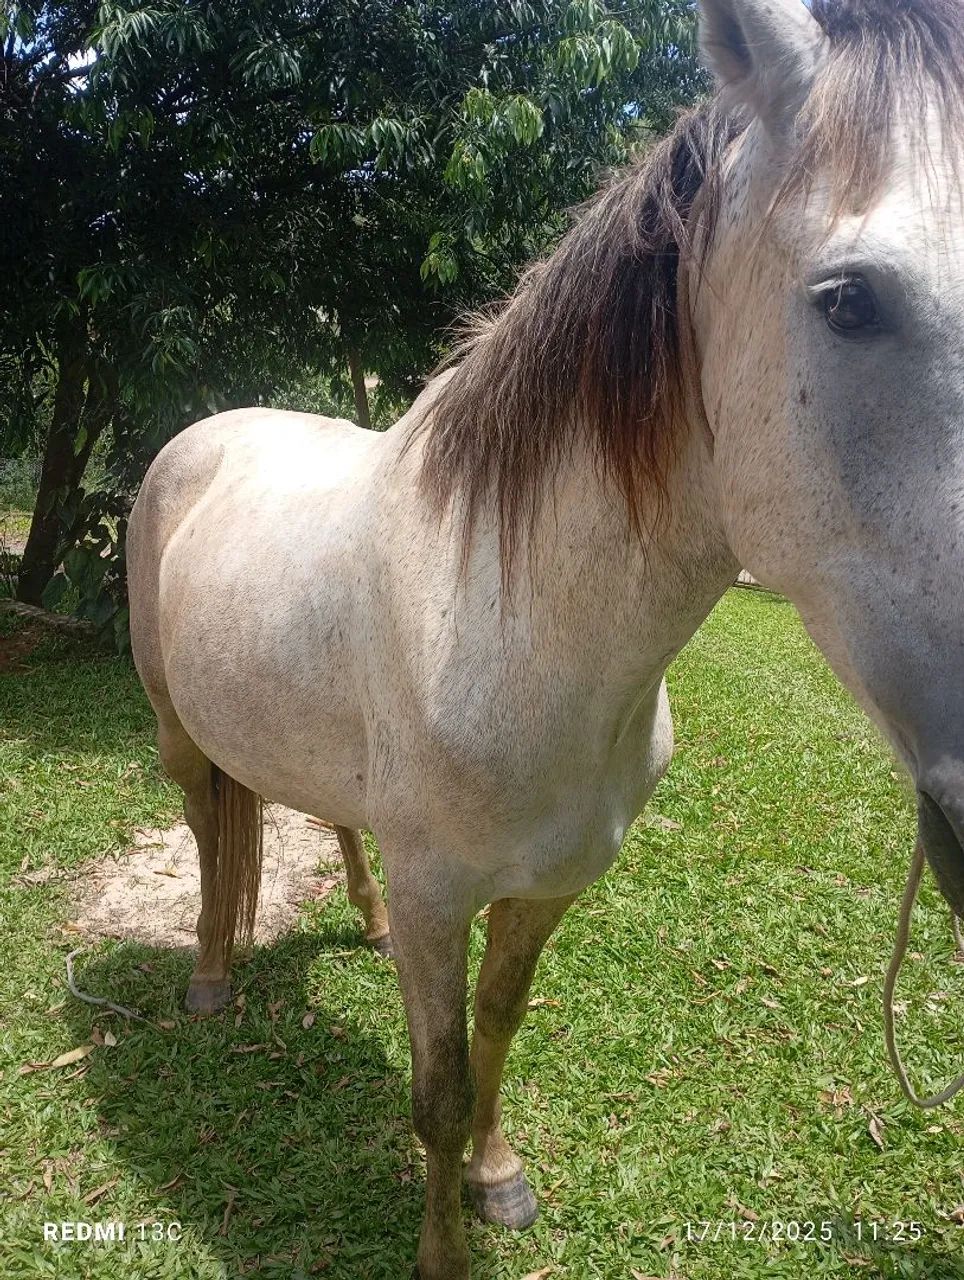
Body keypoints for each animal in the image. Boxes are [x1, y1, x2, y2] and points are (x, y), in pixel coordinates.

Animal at [126, 0, 964, 1273]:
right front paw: (441, 1245)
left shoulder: (551, 884)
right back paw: (214, 976)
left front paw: (499, 1176)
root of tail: (207, 431)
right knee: (209, 830)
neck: (513, 632)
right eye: (848, 300)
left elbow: (498, 1026)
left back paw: (356, 917)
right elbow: (433, 1086)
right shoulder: (441, 900)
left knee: (317, 814)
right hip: (178, 731)